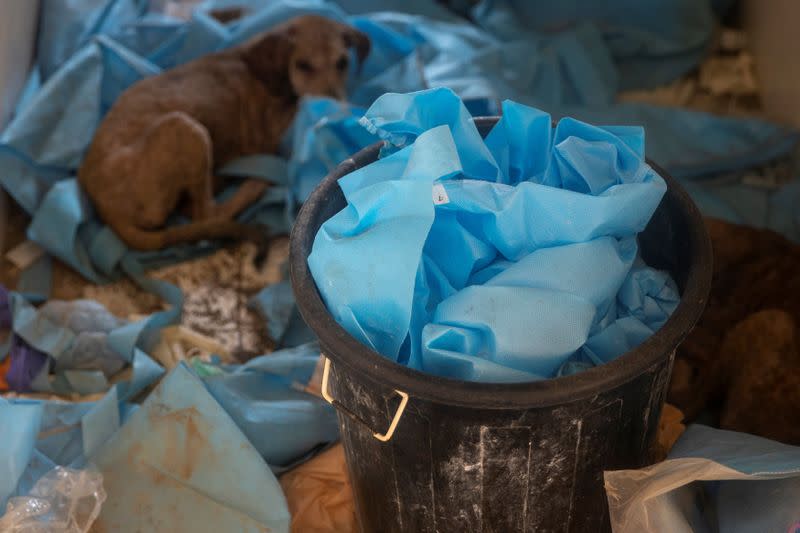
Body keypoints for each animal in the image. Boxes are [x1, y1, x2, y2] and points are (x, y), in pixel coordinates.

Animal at [78, 14, 372, 251]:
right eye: (303, 65)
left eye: (342, 62)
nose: (336, 108)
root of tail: (106, 209)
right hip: (187, 128)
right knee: (207, 213)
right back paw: (251, 185)